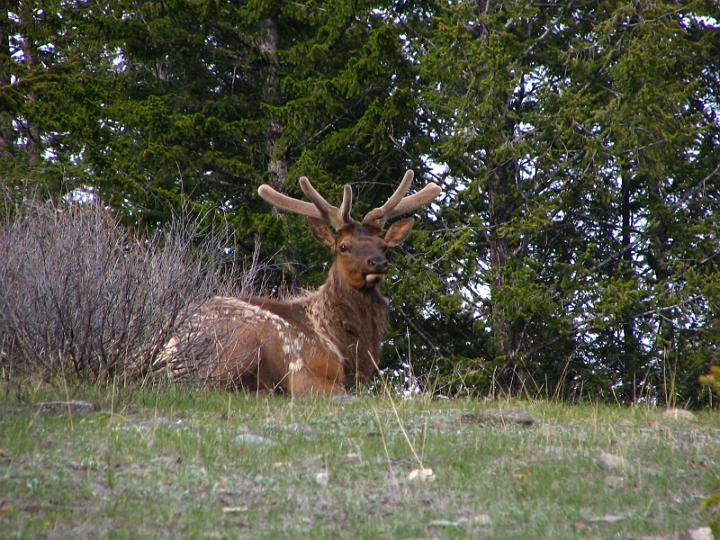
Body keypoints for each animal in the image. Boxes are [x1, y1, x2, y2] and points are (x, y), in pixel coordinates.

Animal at [157, 171, 438, 394]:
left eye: (384, 246)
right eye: (343, 246)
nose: (378, 263)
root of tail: (168, 348)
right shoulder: (307, 371)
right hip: (237, 347)